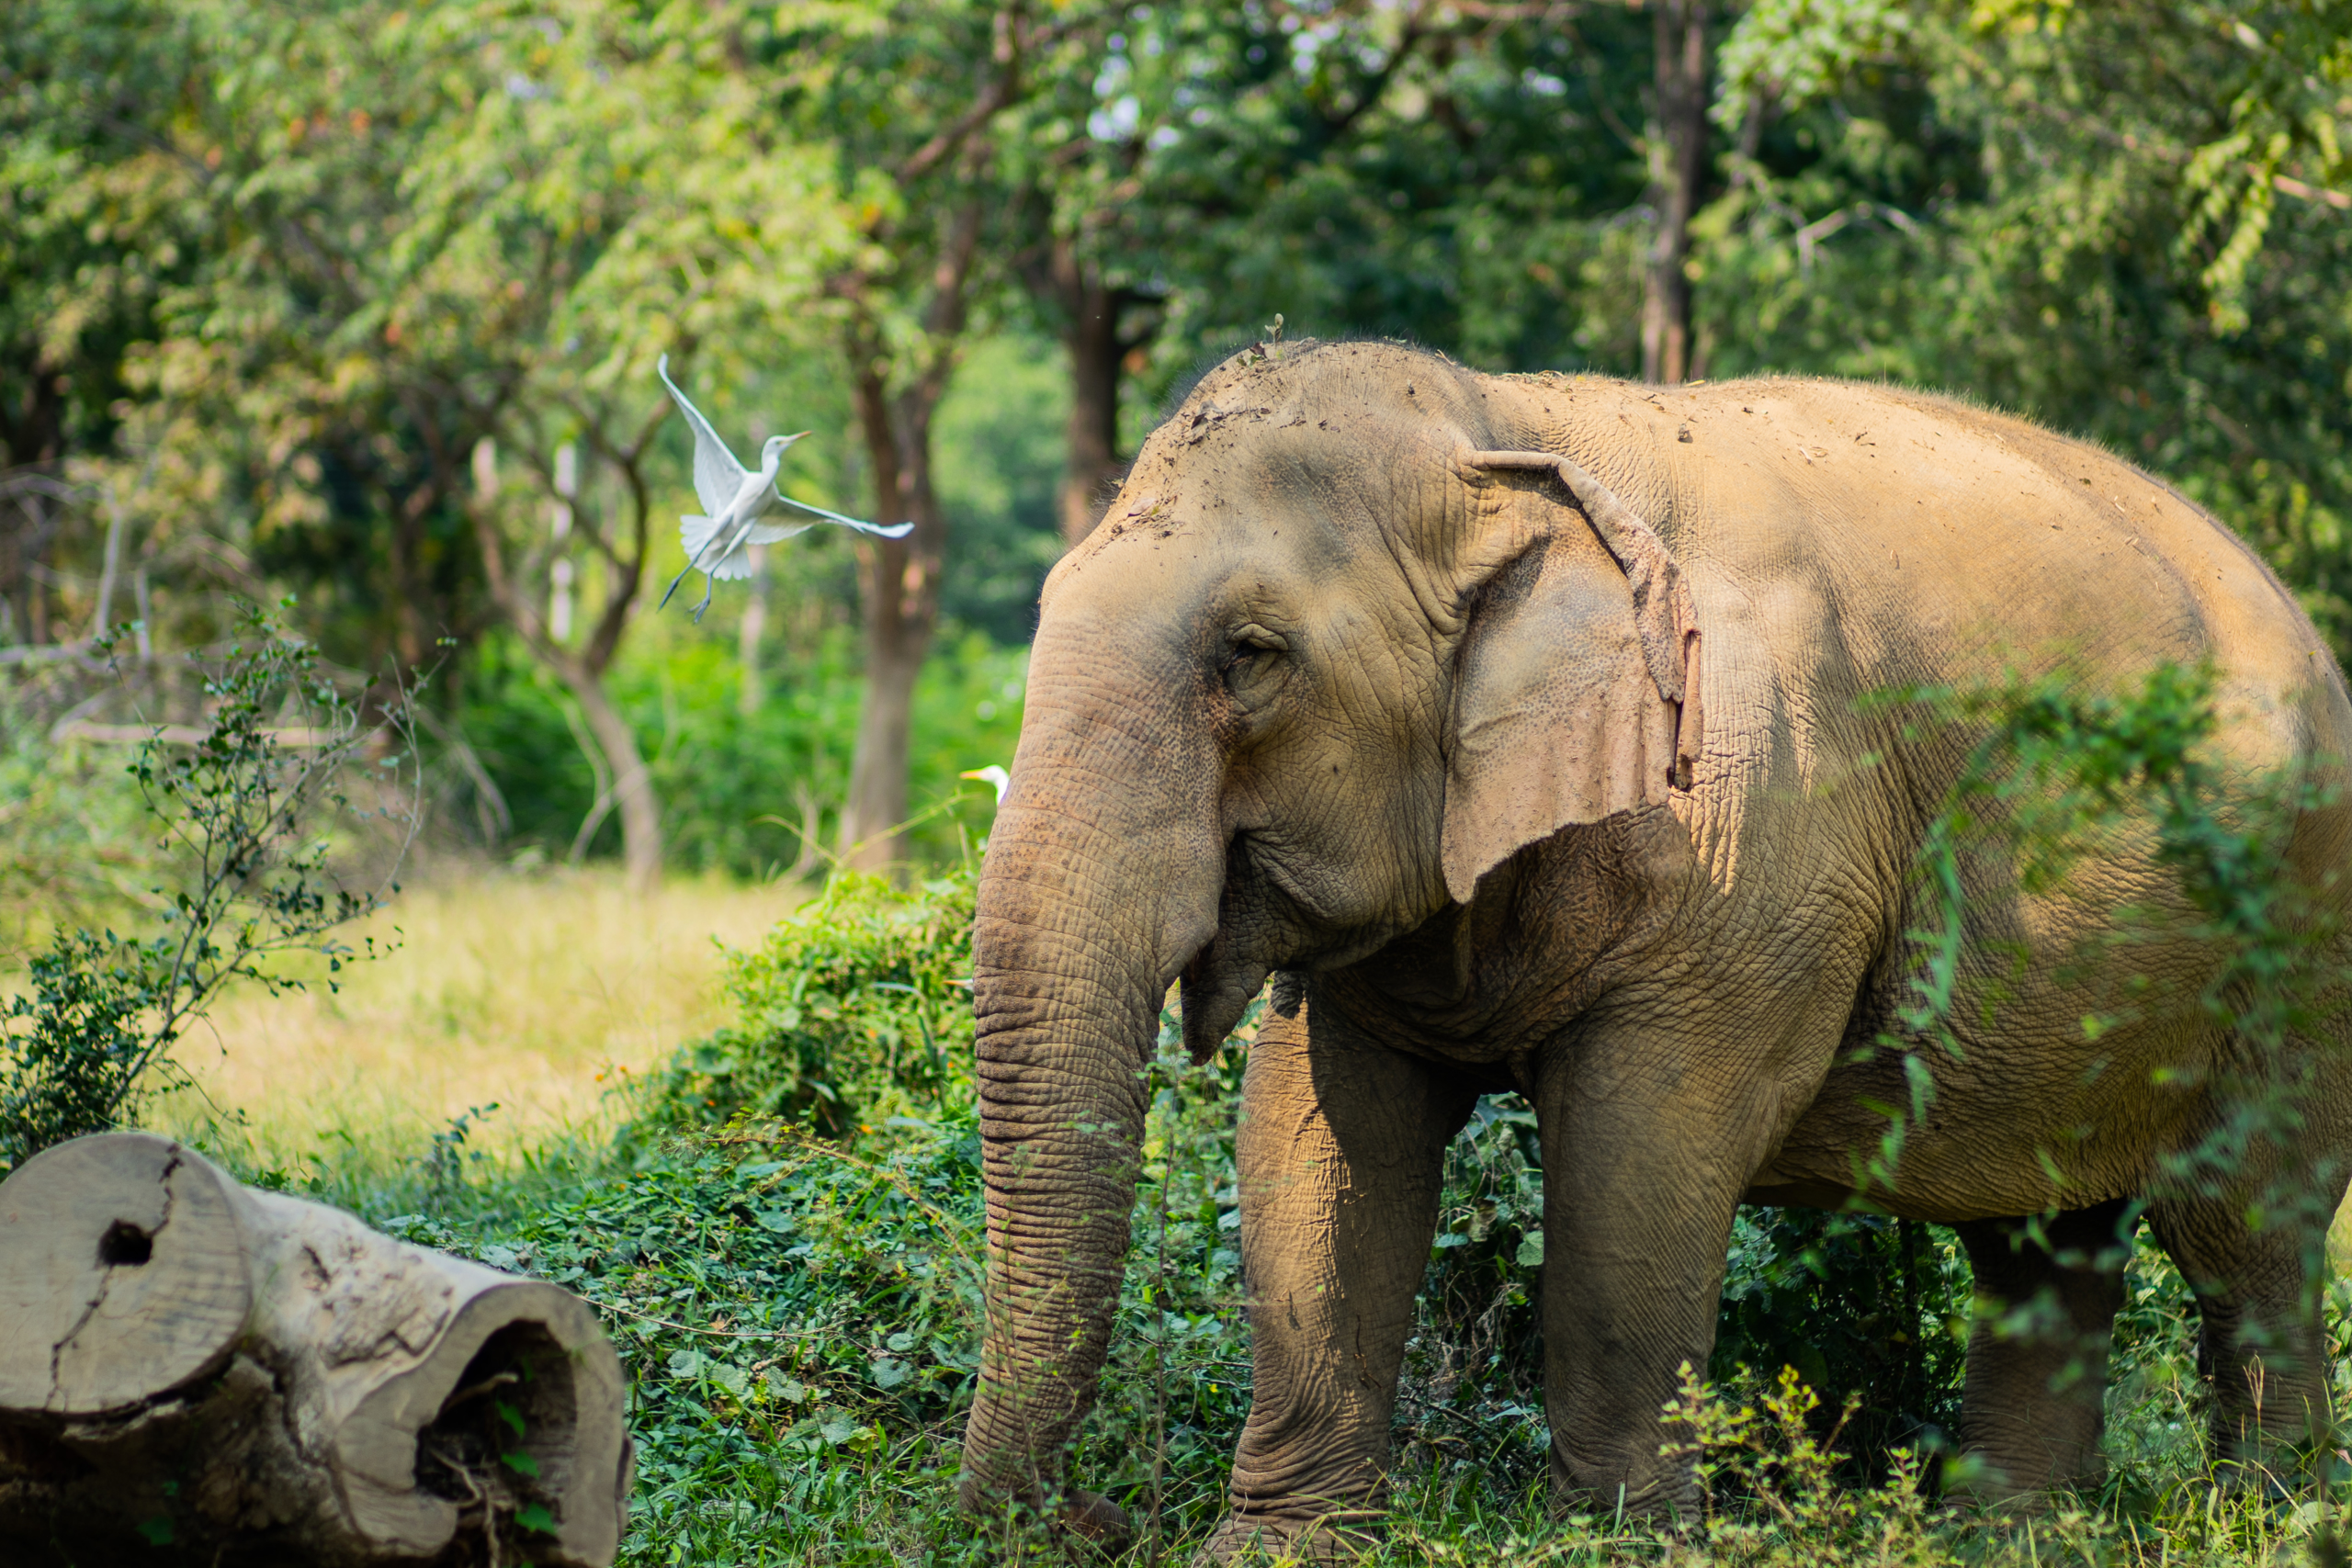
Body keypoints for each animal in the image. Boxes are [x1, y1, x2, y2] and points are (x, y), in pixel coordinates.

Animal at [950, 338, 2352, 1551]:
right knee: (2040, 1238)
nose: (1092, 1514)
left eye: (1250, 655)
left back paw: (2268, 1519)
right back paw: (2006, 1537)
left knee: (2246, 1231)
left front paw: (1613, 1542)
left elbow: (1639, 1158)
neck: (1503, 427)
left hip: (2299, 927)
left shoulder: (1745, 844)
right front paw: (1280, 1548)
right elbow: (1315, 1150)